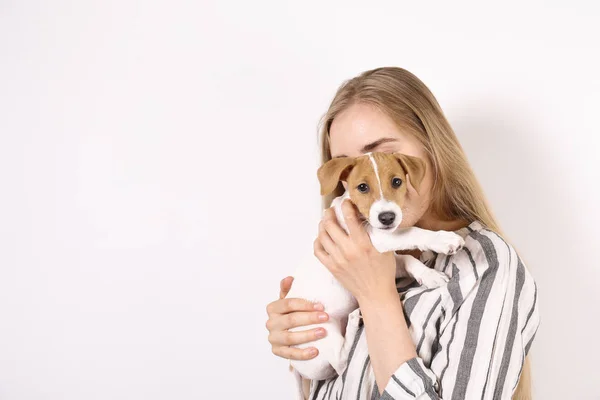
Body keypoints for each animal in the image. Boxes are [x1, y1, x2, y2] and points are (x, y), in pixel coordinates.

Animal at [286, 149, 464, 384]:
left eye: (397, 182)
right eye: (362, 187)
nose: (387, 217)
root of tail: (295, 367)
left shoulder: (389, 257)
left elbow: (408, 260)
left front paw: (428, 274)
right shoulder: (377, 238)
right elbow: (412, 232)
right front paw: (443, 240)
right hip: (322, 330)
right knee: (341, 363)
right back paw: (353, 322)